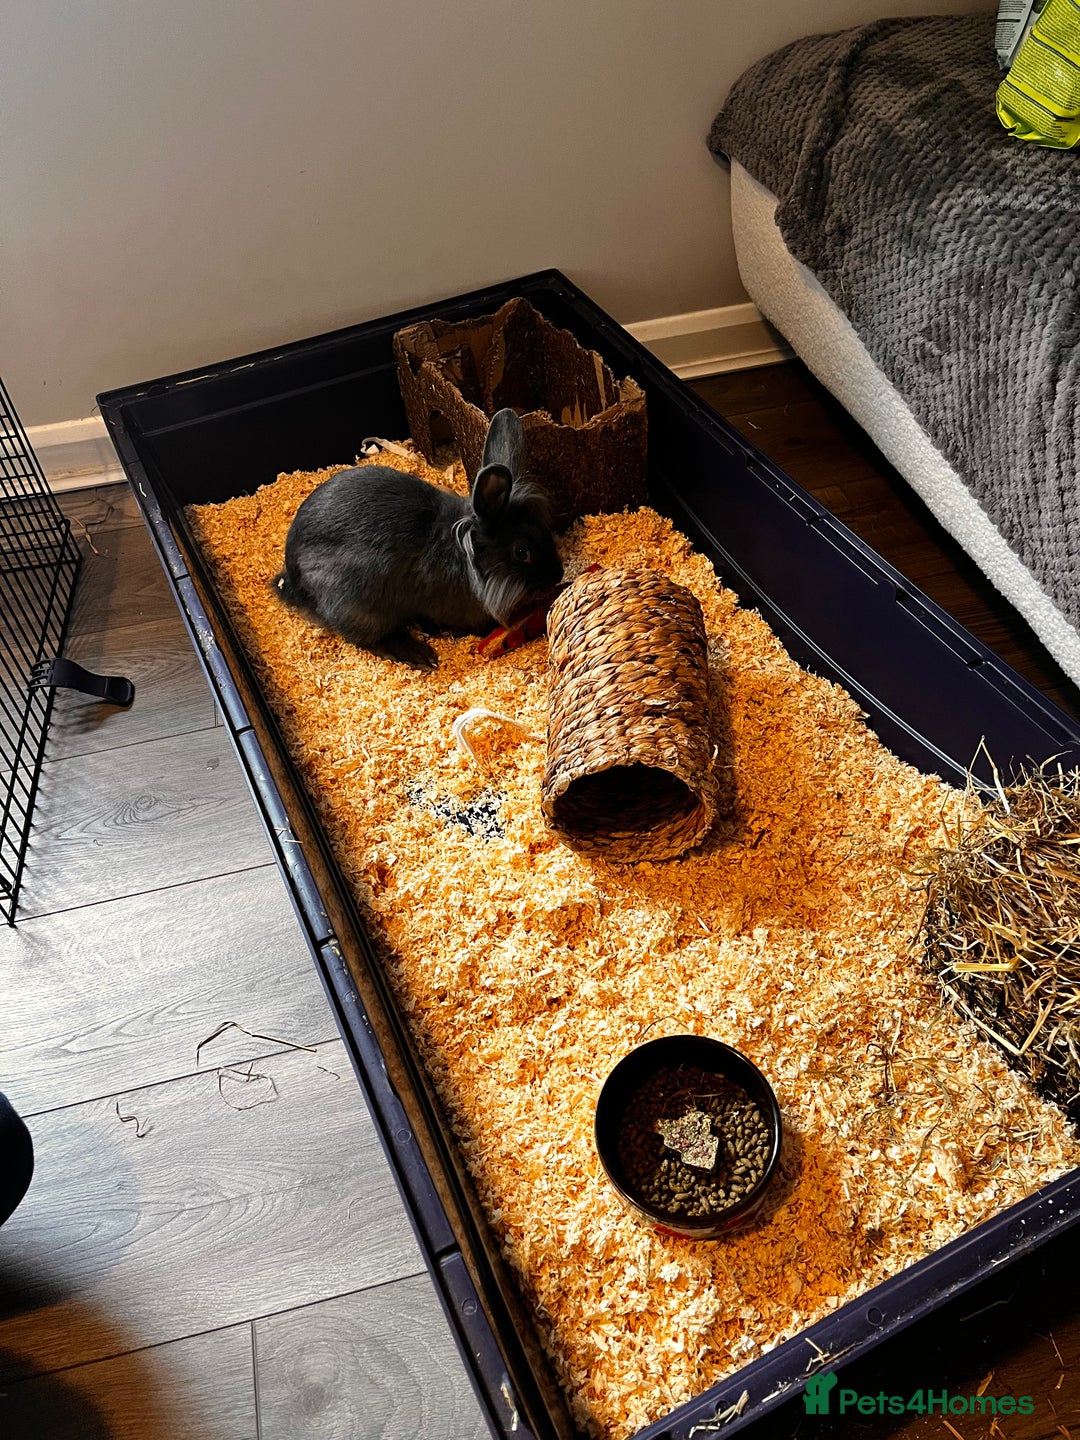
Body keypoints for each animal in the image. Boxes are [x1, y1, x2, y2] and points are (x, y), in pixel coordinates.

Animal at [274, 408, 563, 669]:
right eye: (521, 553)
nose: (557, 575)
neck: (466, 558)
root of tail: (293, 581)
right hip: (356, 606)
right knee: (370, 639)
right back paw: (416, 653)